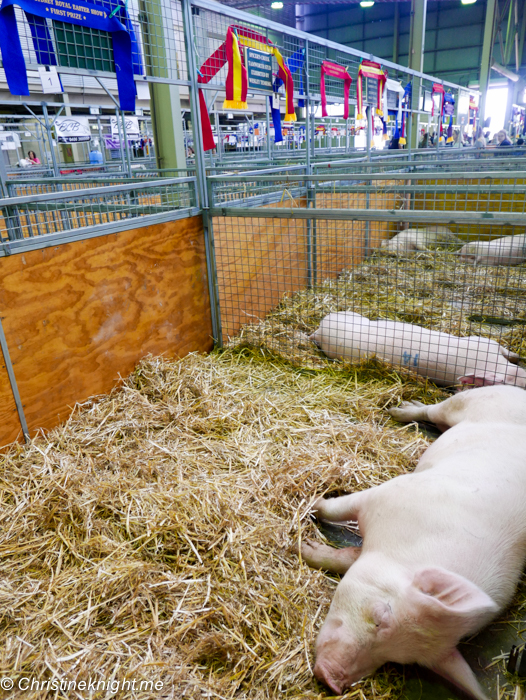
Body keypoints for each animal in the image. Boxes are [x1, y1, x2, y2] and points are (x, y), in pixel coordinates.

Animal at [304, 382, 526, 700]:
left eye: (396, 660)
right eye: (380, 616)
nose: (331, 680)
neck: (402, 553)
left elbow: (345, 559)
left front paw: (306, 547)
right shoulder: (388, 494)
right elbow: (337, 508)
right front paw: (310, 511)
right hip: (472, 399)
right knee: (433, 410)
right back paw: (399, 409)